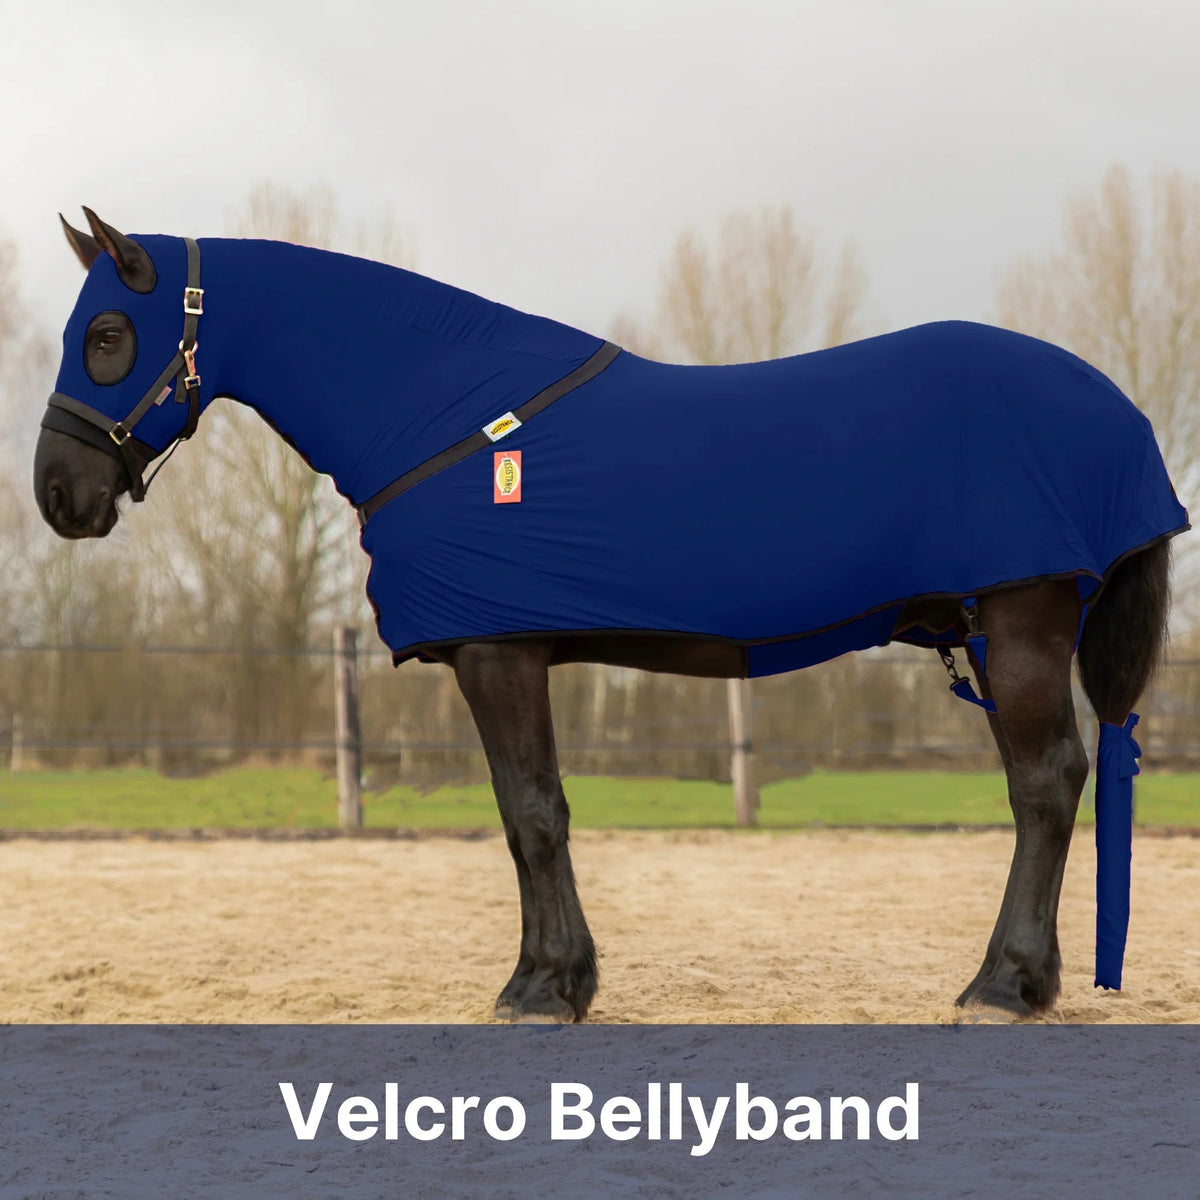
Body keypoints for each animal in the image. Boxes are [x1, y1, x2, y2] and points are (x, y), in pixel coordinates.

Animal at [33, 209, 1187, 1023]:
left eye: (108, 334)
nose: (59, 495)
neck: (450, 415)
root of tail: (1115, 411)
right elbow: (533, 814)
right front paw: (563, 979)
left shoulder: (497, 652)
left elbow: (531, 813)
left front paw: (542, 988)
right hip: (996, 632)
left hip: (1022, 623)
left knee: (1045, 785)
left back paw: (1002, 986)